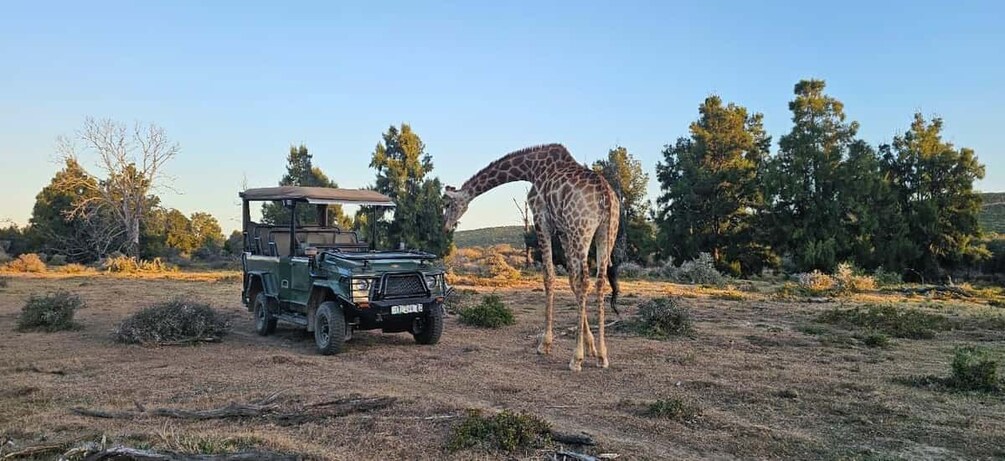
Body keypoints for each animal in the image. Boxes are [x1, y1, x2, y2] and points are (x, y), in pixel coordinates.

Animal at [443, 144, 621, 371]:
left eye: (448, 205)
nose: (445, 226)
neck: (531, 168)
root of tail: (605, 195)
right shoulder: (563, 231)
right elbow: (571, 280)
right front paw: (591, 346)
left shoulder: (541, 218)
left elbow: (550, 276)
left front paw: (545, 344)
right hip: (606, 231)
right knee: (598, 281)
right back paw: (603, 355)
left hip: (581, 229)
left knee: (586, 279)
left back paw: (576, 358)